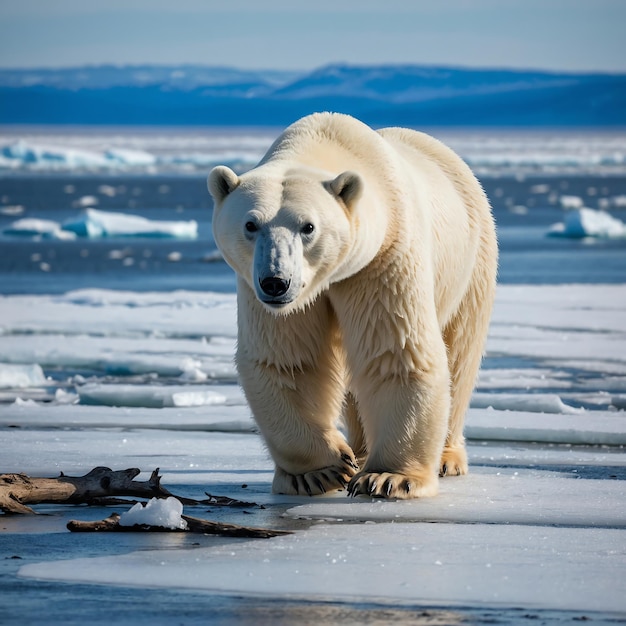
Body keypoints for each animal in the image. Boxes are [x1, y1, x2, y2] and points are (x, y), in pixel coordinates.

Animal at [210, 112, 498, 498]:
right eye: (250, 224)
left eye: (308, 227)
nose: (275, 282)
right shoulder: (274, 296)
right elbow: (290, 361)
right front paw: (319, 472)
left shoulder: (384, 257)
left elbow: (396, 354)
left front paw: (390, 477)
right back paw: (359, 452)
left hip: (472, 259)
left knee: (461, 352)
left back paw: (446, 457)